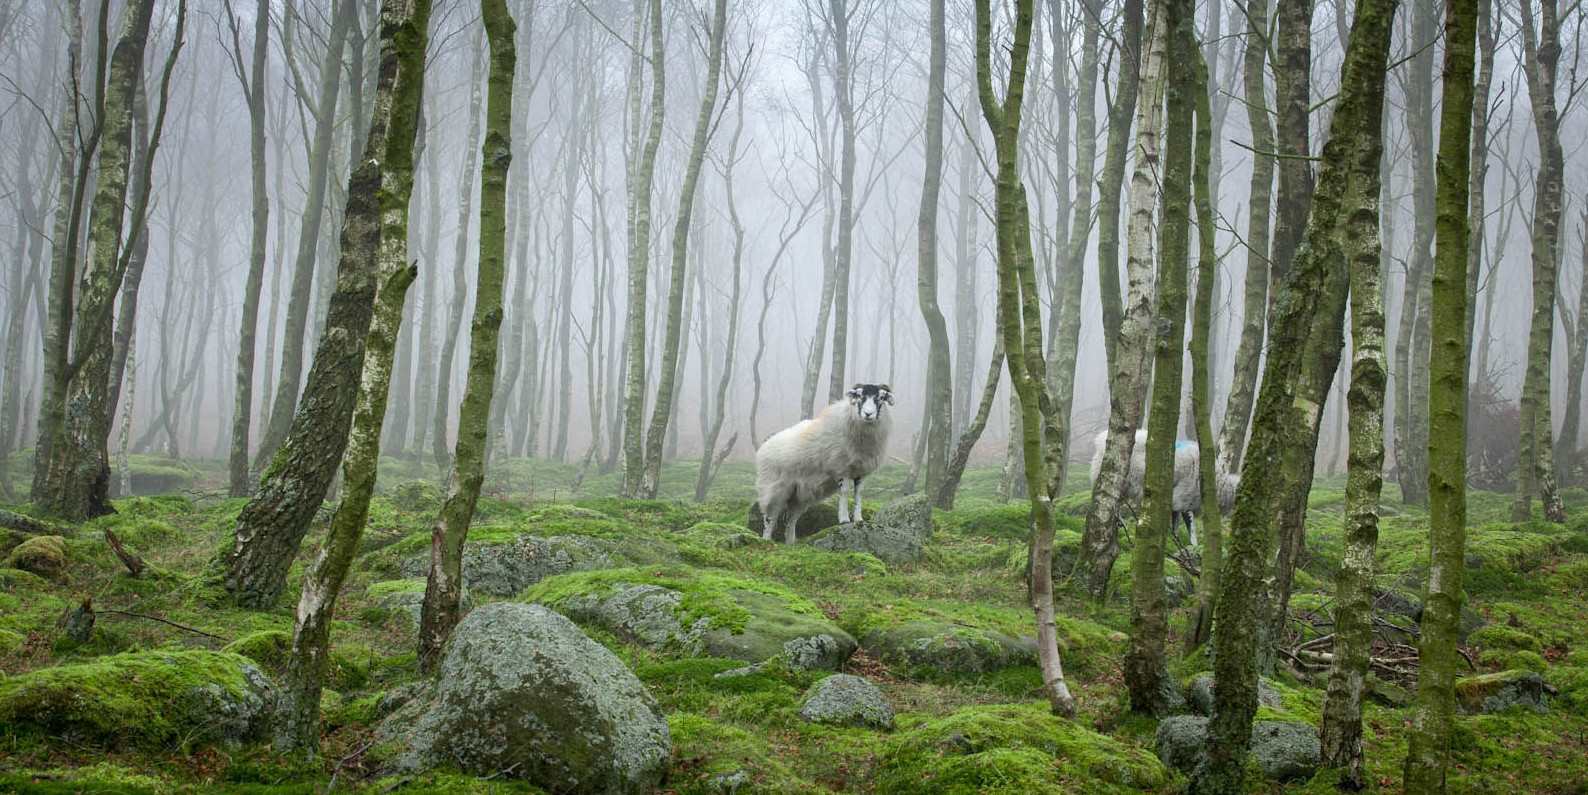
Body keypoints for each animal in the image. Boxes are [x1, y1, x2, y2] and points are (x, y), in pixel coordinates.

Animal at [752, 382, 895, 539]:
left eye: (881, 397)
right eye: (859, 396)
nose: (868, 414)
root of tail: (765, 445)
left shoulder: (861, 471)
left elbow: (858, 494)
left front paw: (858, 519)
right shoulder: (840, 467)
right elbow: (845, 492)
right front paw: (844, 519)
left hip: (799, 495)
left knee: (790, 520)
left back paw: (791, 541)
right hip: (773, 487)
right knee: (770, 518)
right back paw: (767, 540)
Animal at [1092, 428, 1238, 545]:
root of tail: (1100, 440)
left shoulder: (1176, 501)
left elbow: (1175, 524)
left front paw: (1177, 543)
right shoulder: (1184, 499)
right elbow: (1191, 528)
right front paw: (1194, 548)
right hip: (1118, 480)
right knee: (1110, 500)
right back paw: (1121, 522)